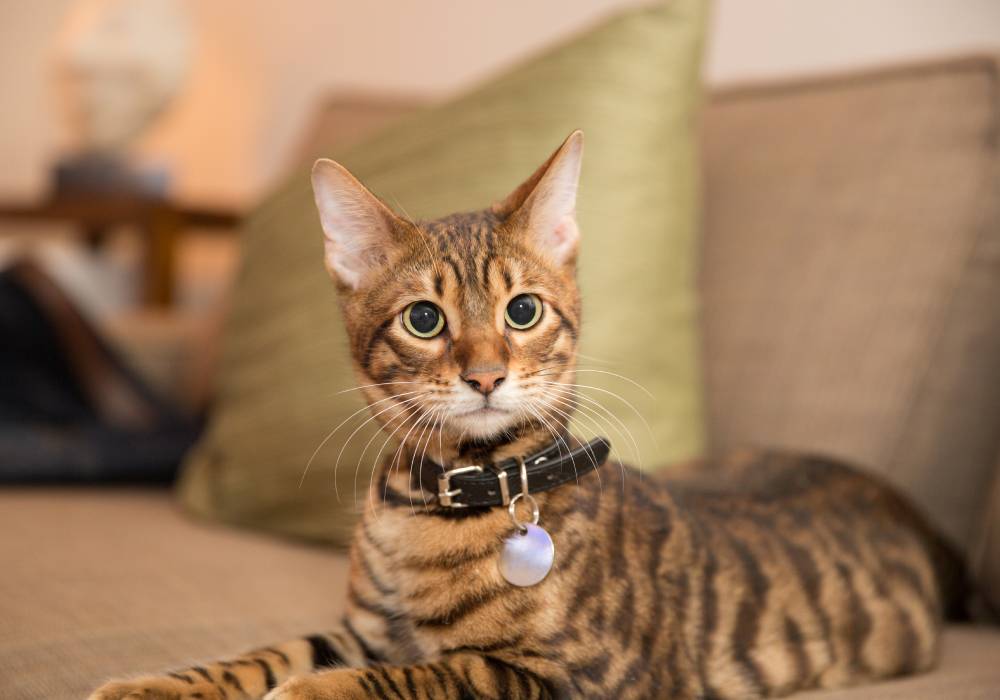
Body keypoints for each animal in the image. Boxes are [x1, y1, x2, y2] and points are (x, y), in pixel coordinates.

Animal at [90, 133, 964, 700]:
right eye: (423, 320)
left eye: (522, 309)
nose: (484, 374)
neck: (435, 507)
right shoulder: (359, 625)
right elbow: (267, 652)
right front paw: (157, 685)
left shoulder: (578, 676)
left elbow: (428, 672)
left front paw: (313, 692)